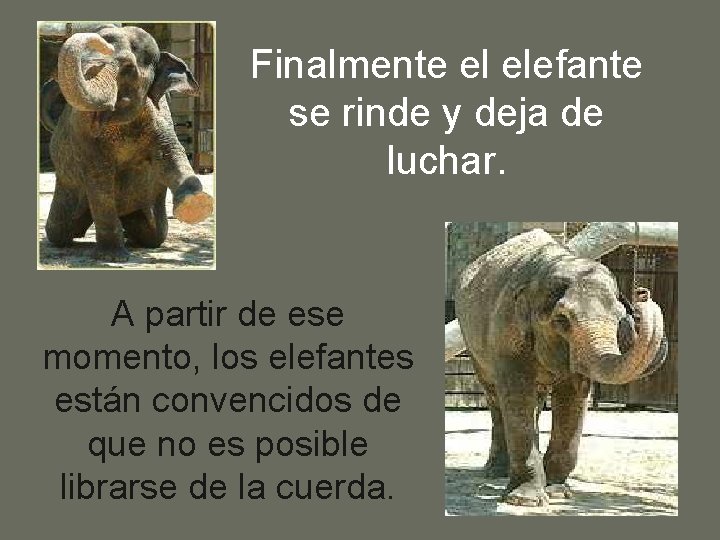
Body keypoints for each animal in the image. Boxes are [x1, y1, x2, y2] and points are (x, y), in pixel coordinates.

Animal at [40, 25, 214, 261]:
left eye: (128, 69)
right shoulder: (83, 130)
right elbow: (98, 176)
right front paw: (113, 258)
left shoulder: (161, 119)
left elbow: (170, 155)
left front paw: (195, 203)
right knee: (57, 231)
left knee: (155, 235)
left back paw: (133, 237)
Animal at [454, 229, 667, 506]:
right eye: (562, 319)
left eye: (620, 317)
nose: (643, 293)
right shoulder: (506, 334)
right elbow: (516, 393)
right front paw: (525, 500)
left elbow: (573, 396)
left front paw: (558, 492)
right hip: (473, 344)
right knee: (495, 396)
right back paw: (496, 472)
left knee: (535, 399)